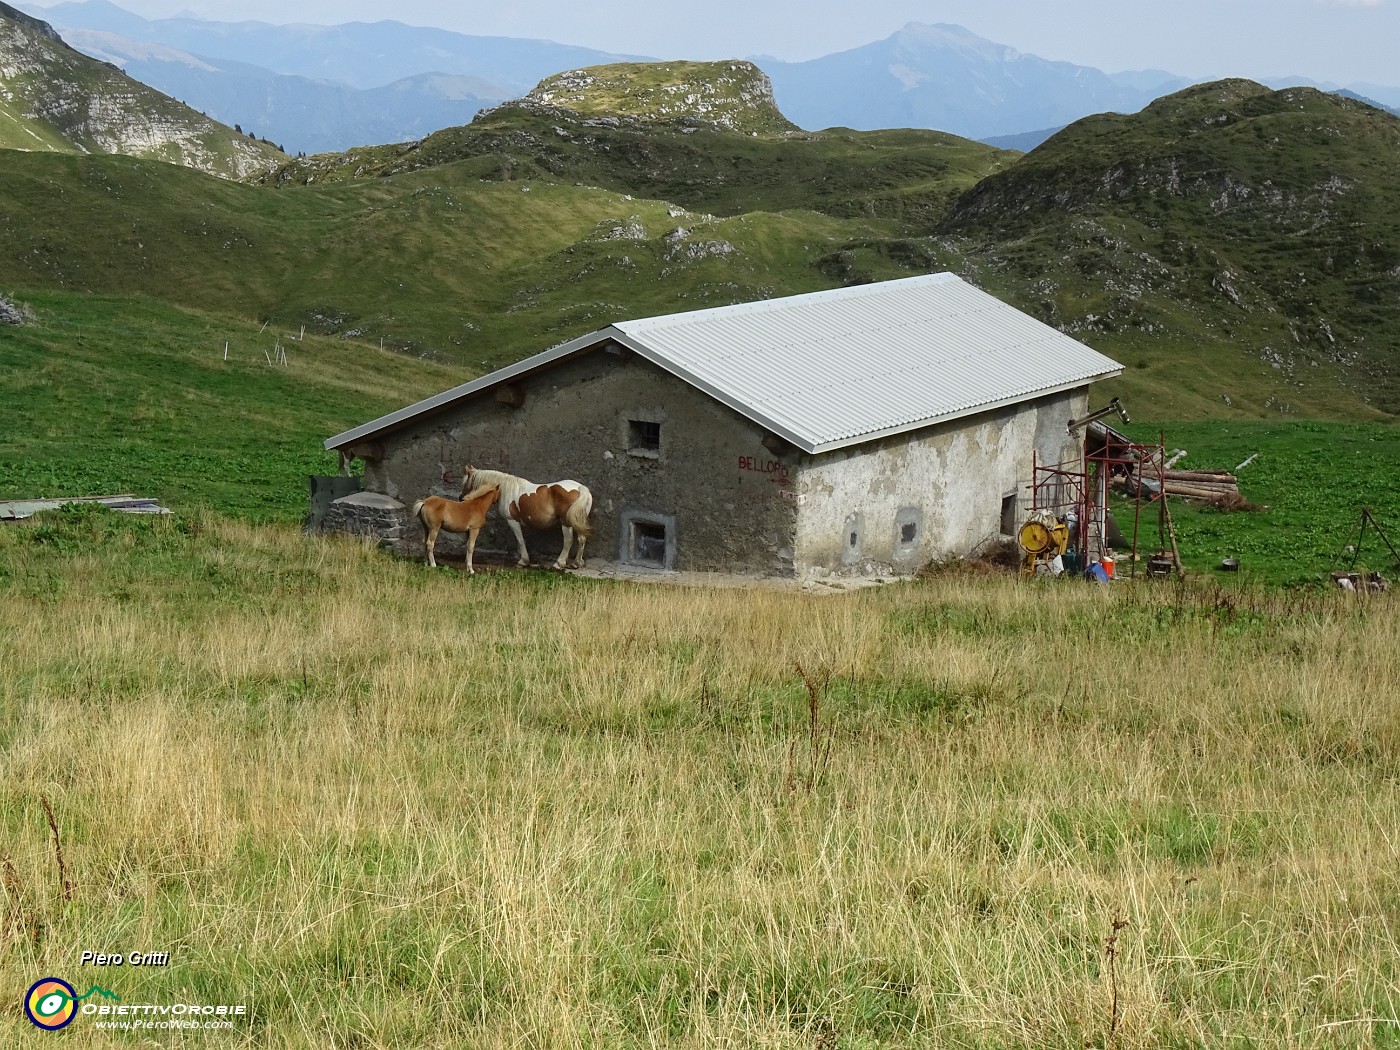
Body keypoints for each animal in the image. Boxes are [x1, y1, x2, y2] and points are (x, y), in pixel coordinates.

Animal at [459, 467, 590, 571]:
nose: (461, 499)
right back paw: (577, 563)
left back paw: (558, 563)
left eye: (465, 483)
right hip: (577, 522)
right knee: (582, 539)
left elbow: (521, 540)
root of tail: (580, 487)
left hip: (566, 523)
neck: (504, 489)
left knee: (568, 541)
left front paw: (523, 561)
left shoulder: (512, 521)